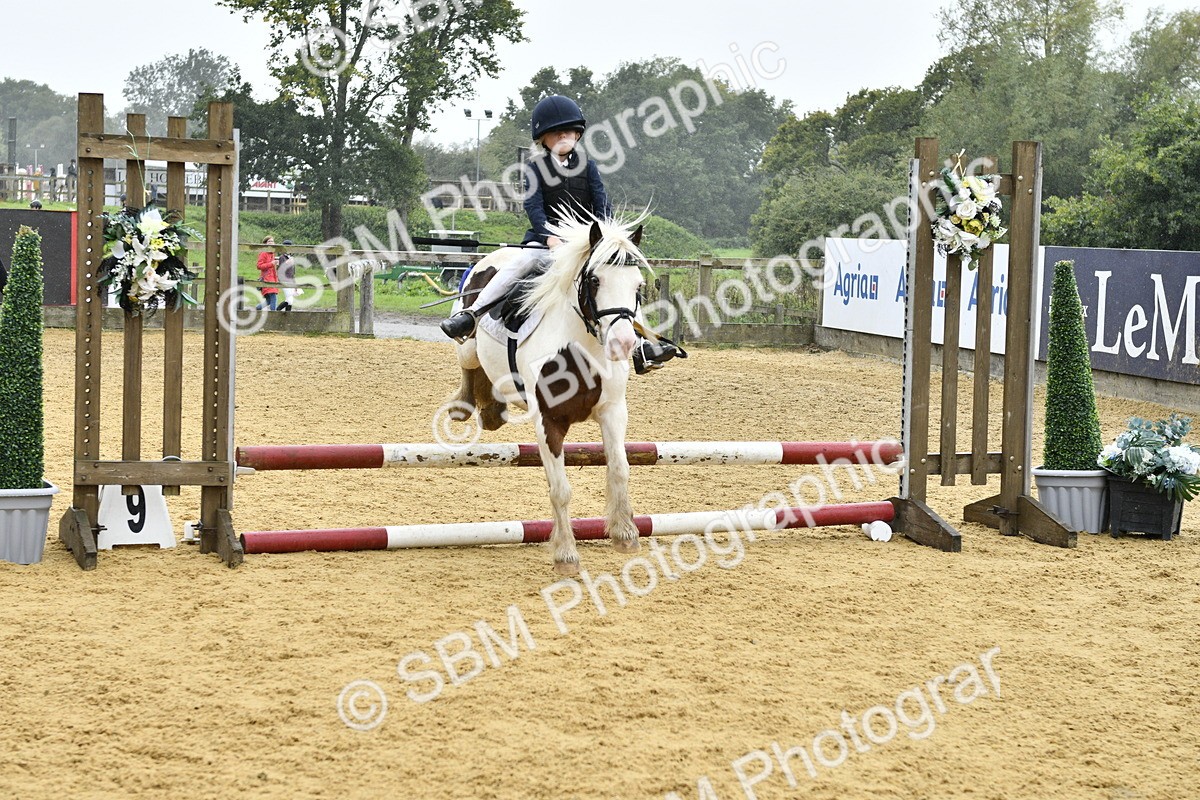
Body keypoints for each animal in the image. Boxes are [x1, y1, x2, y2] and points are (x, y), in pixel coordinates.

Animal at [451, 217, 649, 575]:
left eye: (638, 285)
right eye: (595, 280)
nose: (624, 342)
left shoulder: (613, 411)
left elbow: (619, 469)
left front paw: (625, 534)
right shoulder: (549, 421)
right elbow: (560, 490)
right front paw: (566, 555)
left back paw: (491, 410)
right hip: (468, 345)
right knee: (469, 364)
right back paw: (465, 404)